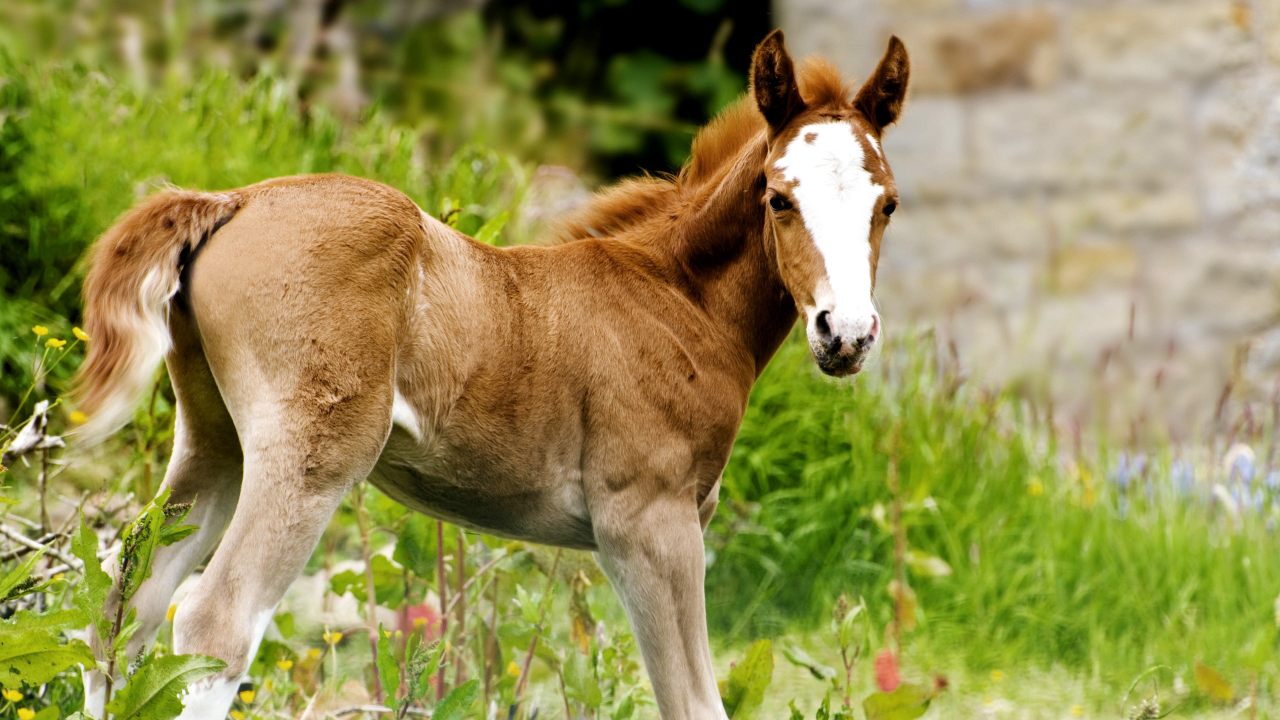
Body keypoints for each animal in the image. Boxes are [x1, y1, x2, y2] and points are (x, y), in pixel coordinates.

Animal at [72, 29, 911, 717]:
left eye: (888, 205)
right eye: (779, 198)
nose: (845, 334)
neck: (677, 297)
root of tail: (233, 200)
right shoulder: (649, 524)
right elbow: (694, 702)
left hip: (214, 441)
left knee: (122, 609)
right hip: (312, 455)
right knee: (214, 621)